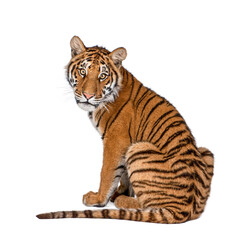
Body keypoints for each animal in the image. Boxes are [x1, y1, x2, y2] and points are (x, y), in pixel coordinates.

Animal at [37, 35, 214, 223]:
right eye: (83, 72)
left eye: (102, 76)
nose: (87, 96)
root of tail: (186, 210)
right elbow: (123, 174)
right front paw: (119, 192)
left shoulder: (115, 141)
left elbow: (107, 172)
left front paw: (99, 199)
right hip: (205, 152)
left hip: (139, 148)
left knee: (147, 205)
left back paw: (123, 201)